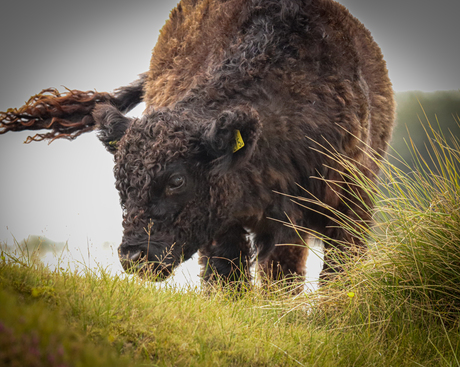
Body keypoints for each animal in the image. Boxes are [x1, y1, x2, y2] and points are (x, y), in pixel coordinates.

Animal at [0, 0, 396, 286]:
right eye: (119, 183)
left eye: (177, 180)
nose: (134, 258)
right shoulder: (226, 226)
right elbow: (227, 276)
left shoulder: (326, 210)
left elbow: (305, 275)